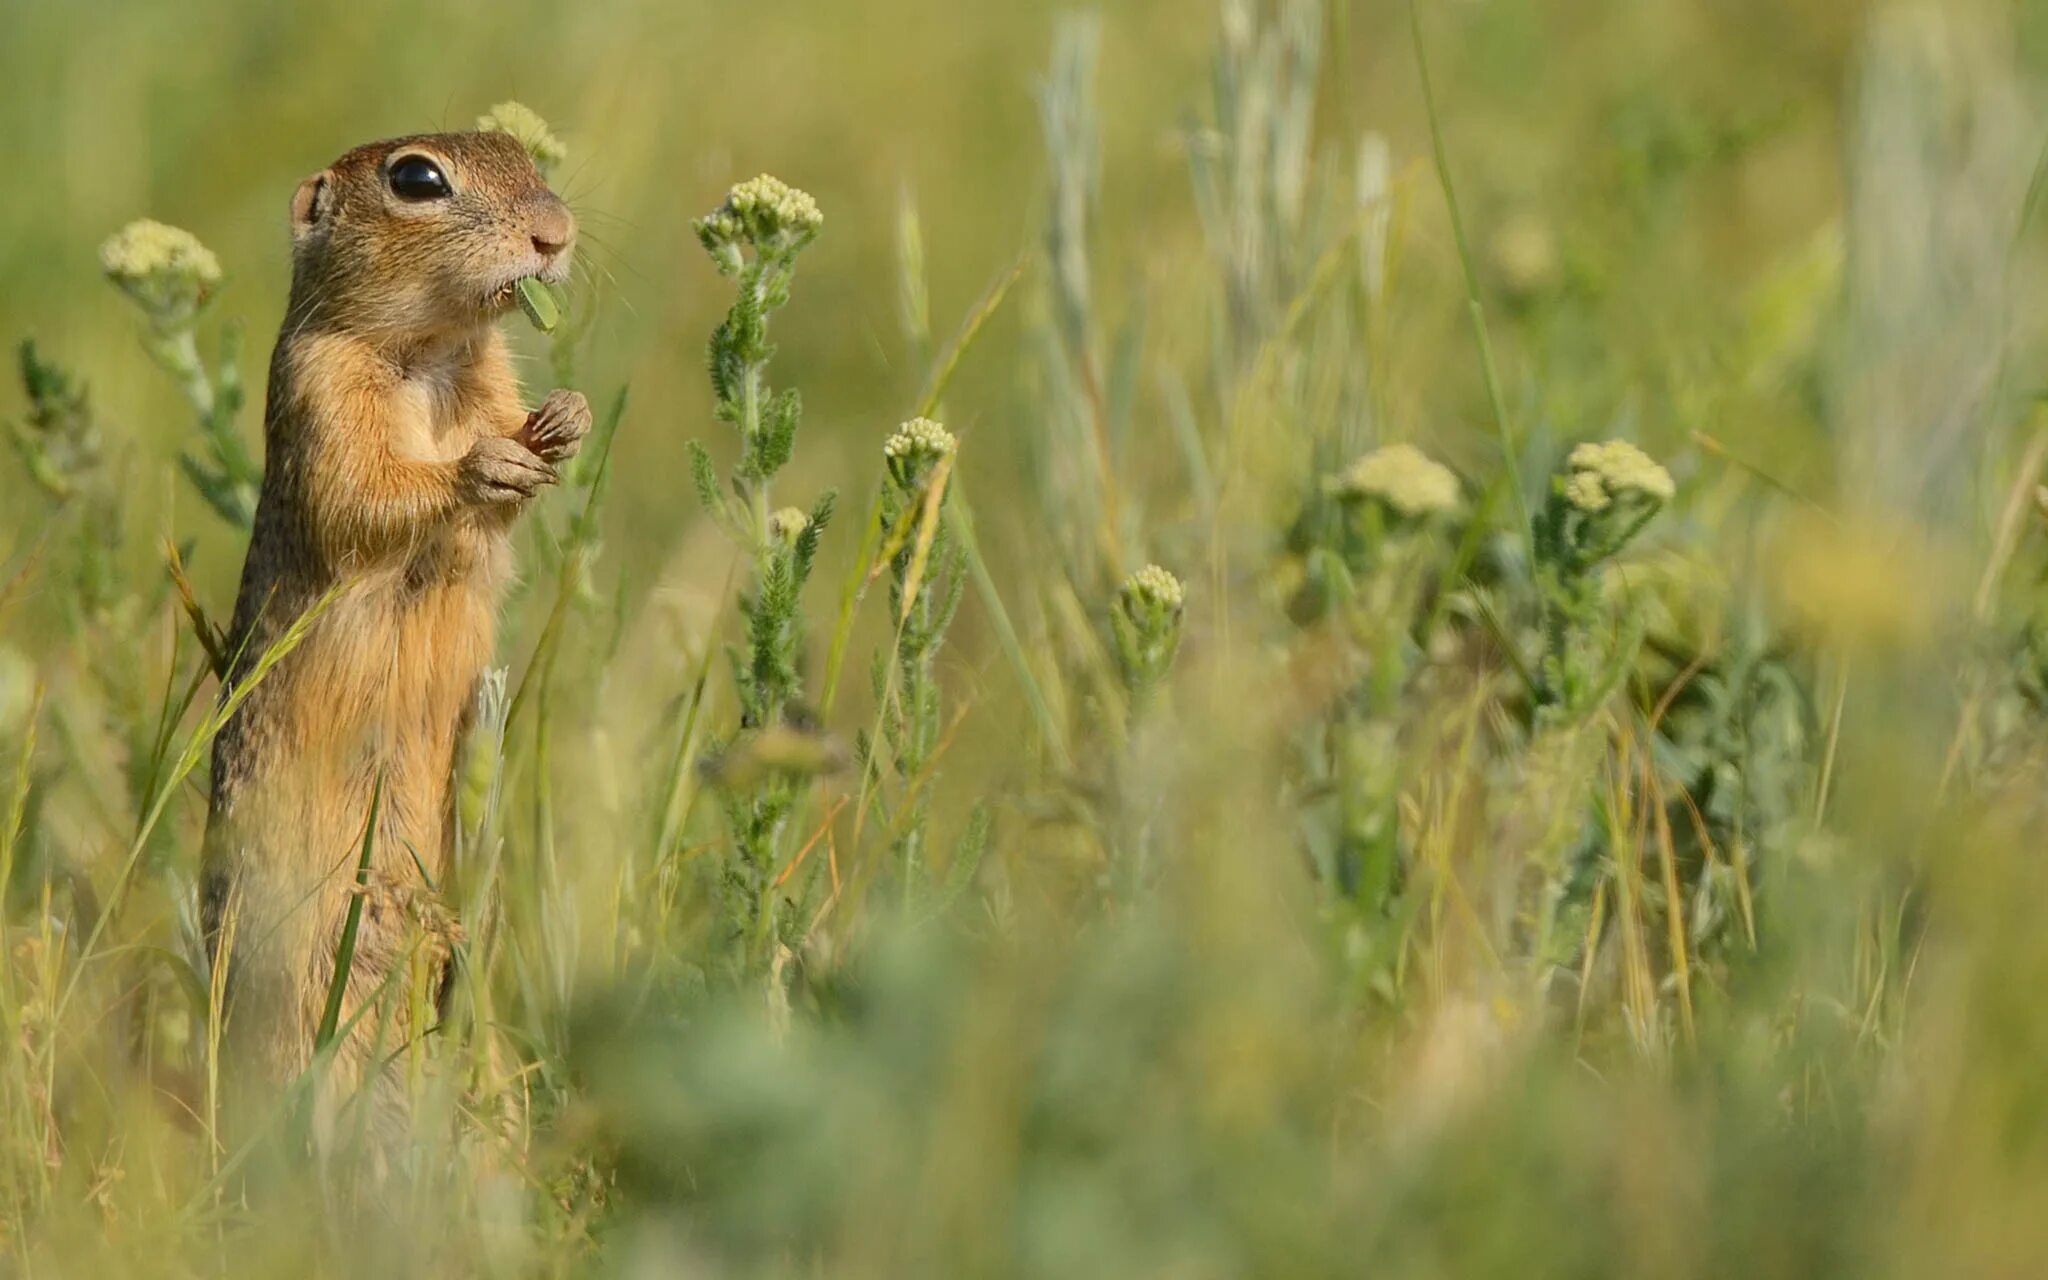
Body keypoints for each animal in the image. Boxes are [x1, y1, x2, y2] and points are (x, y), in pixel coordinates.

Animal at [203, 130, 589, 1130]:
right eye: (417, 179)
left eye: (521, 152)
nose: (554, 232)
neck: (430, 352)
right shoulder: (320, 393)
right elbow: (367, 496)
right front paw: (480, 466)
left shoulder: (491, 377)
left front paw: (562, 420)